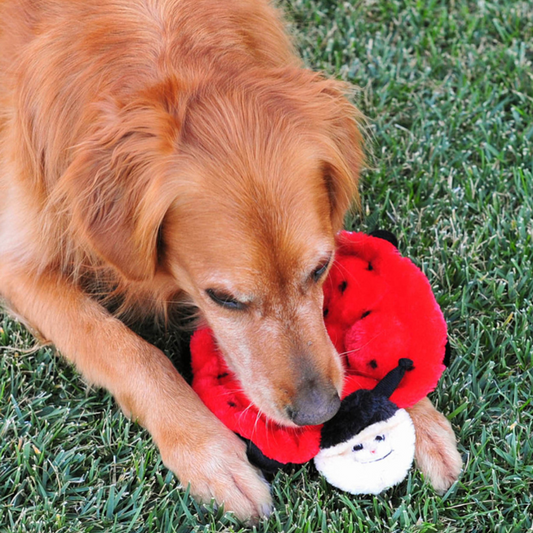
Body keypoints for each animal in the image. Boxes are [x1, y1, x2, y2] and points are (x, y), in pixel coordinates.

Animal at [0, 0, 462, 520]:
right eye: (223, 299)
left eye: (320, 269)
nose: (321, 413)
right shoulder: (19, 263)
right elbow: (124, 348)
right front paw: (209, 453)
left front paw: (418, 415)